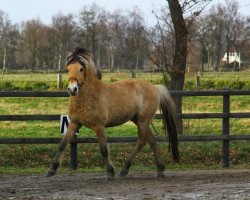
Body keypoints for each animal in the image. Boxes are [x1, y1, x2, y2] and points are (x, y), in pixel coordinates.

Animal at [46, 47, 179, 180]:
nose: (72, 89)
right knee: (152, 140)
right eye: (68, 69)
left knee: (141, 141)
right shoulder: (74, 123)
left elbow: (104, 149)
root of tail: (155, 87)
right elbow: (62, 144)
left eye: (81, 69)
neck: (89, 97)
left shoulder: (99, 126)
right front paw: (51, 170)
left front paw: (110, 172)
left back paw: (125, 169)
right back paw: (159, 170)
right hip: (138, 120)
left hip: (143, 120)